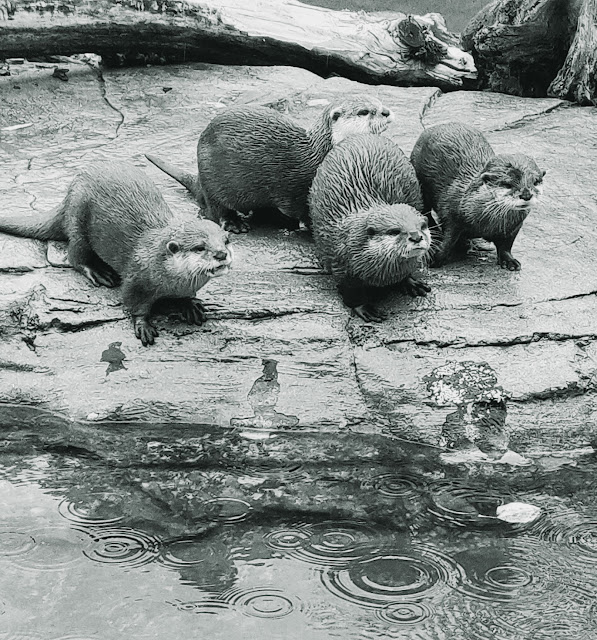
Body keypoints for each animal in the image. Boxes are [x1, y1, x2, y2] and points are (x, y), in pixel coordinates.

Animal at [0, 162, 232, 348]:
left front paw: (189, 304)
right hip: (78, 216)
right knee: (75, 255)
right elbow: (133, 304)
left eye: (226, 240)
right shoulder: (135, 280)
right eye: (200, 247)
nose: (221, 254)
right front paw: (143, 325)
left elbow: (186, 297)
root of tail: (68, 193)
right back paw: (98, 272)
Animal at [146, 94, 394, 234]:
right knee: (215, 209)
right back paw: (235, 224)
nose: (387, 112)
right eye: (364, 111)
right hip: (212, 178)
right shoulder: (299, 188)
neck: (318, 155)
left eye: (379, 102)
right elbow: (304, 211)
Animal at [310, 136, 430, 324]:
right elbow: (351, 292)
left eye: (422, 226)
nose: (416, 236)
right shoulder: (341, 263)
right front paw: (365, 308)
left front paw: (410, 282)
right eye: (394, 231)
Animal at [410, 122, 544, 270]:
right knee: (426, 210)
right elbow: (448, 238)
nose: (526, 195)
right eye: (507, 184)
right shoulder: (451, 214)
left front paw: (509, 261)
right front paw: (435, 257)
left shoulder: (514, 227)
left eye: (536, 182)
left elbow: (506, 246)